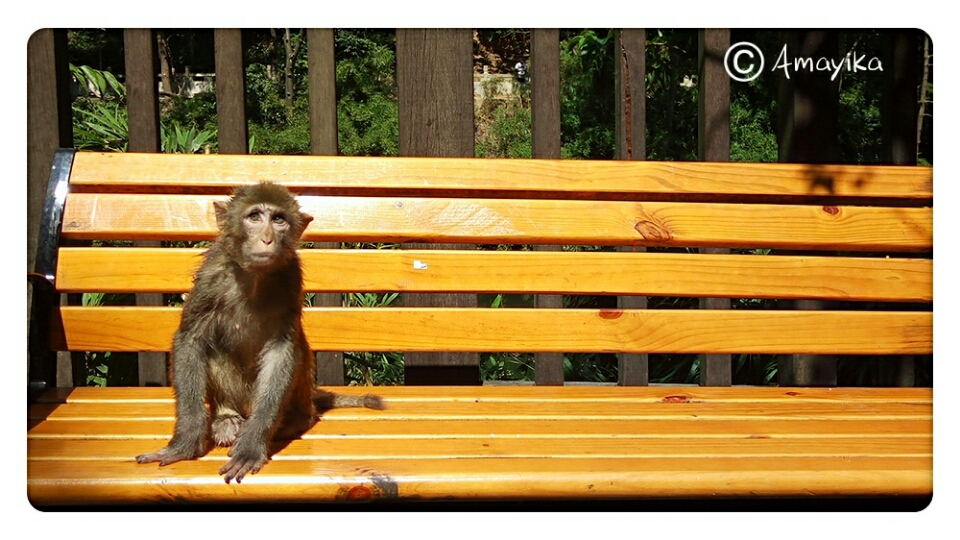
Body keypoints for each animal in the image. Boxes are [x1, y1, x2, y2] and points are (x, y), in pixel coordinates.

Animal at [137, 182, 384, 486]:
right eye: (254, 217)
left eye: (278, 220)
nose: (267, 239)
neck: (254, 276)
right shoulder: (211, 276)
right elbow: (191, 339)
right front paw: (184, 443)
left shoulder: (291, 278)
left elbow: (281, 351)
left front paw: (252, 445)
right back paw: (226, 418)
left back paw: (294, 420)